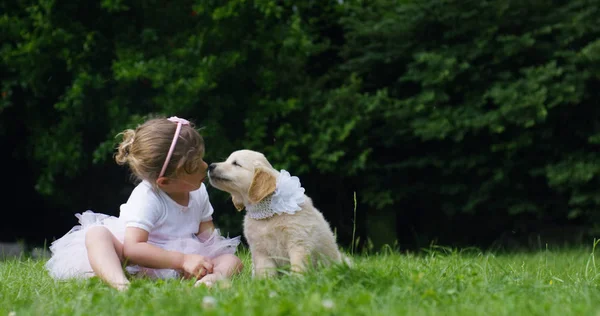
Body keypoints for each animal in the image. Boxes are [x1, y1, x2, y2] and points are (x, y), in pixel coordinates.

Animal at [206, 150, 346, 276]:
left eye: (236, 164)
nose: (210, 166)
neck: (268, 212)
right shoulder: (260, 251)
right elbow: (266, 273)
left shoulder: (298, 243)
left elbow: (298, 268)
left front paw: (297, 282)